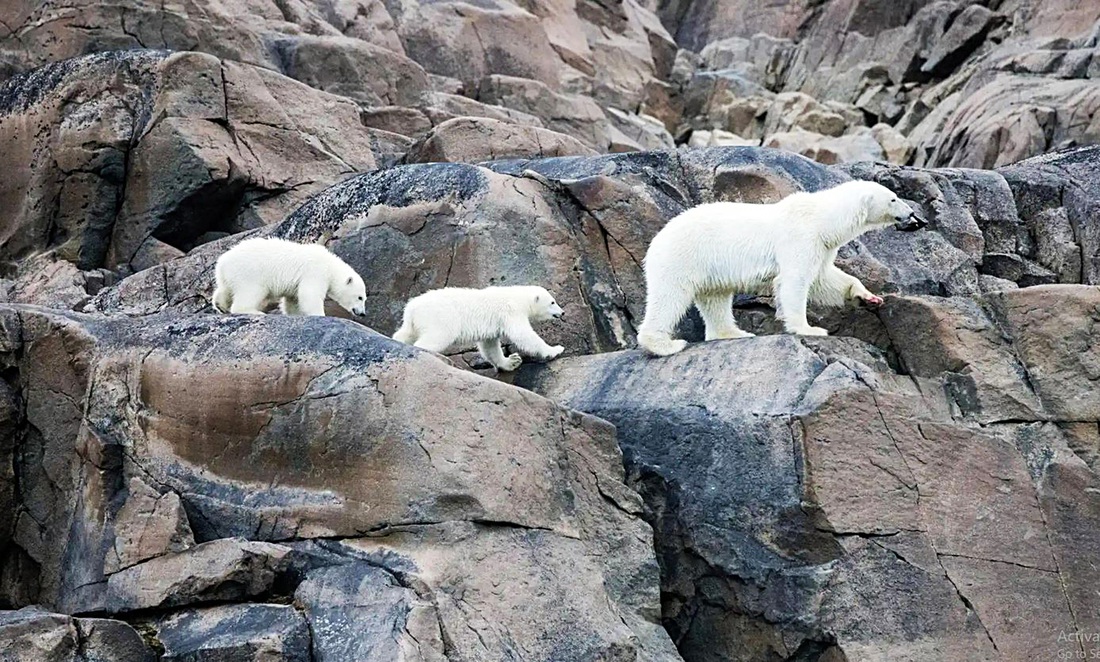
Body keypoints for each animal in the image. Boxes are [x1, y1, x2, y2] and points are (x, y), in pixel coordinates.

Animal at [638, 180, 928, 356]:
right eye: (893, 199)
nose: (913, 215)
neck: (822, 218)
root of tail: (657, 239)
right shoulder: (801, 237)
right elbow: (795, 281)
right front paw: (808, 328)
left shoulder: (821, 246)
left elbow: (824, 279)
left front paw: (867, 296)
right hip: (682, 257)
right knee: (670, 297)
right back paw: (664, 345)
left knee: (715, 298)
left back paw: (734, 333)